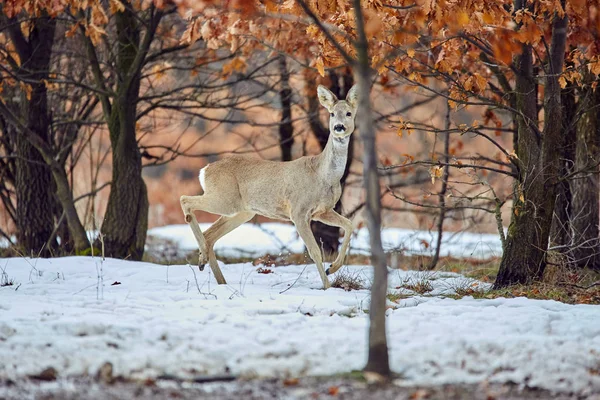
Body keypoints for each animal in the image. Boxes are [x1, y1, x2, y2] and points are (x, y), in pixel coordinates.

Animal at [178, 85, 356, 290]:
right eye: (332, 113)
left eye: (349, 113)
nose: (339, 127)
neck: (323, 175)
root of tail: (204, 170)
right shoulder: (298, 211)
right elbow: (314, 251)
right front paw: (327, 286)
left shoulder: (322, 211)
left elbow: (349, 224)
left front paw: (332, 268)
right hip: (225, 199)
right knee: (185, 200)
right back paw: (203, 260)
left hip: (242, 210)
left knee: (210, 235)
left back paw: (215, 274)